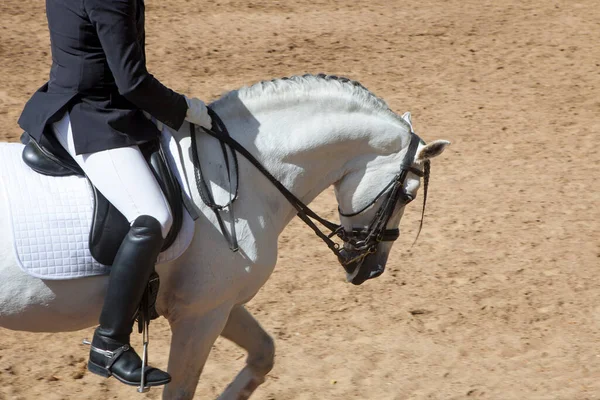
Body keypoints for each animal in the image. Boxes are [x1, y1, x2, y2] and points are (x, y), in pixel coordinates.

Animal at [0, 74, 450, 396]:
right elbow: (182, 390)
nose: (370, 270)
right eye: (408, 194)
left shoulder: (220, 303)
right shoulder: (200, 315)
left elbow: (264, 353)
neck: (239, 172)